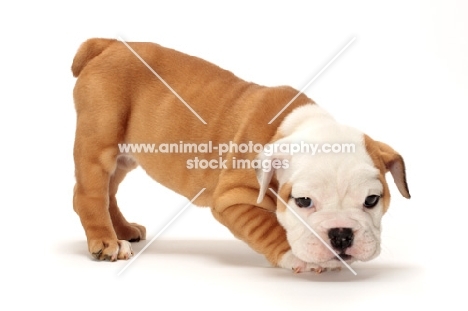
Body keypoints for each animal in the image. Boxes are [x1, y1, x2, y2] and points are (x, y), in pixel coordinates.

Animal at [70, 38, 410, 272]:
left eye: (372, 200)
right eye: (303, 202)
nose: (341, 235)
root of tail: (108, 45)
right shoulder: (235, 199)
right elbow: (270, 228)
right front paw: (297, 257)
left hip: (124, 157)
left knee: (109, 192)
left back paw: (123, 230)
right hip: (100, 142)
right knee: (89, 194)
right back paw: (106, 242)